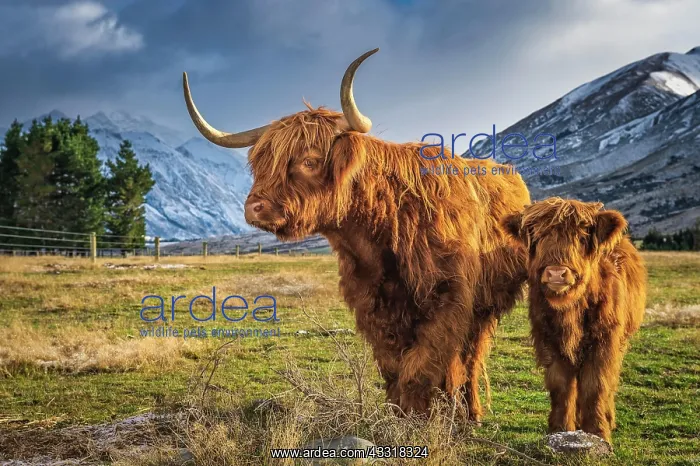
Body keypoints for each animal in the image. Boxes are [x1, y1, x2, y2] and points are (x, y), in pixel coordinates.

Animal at [182, 49, 531, 421]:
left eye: (309, 161)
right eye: (261, 164)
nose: (254, 207)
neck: (382, 230)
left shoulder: (447, 295)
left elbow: (424, 362)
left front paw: (420, 414)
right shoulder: (371, 301)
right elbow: (394, 364)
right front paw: (401, 413)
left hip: (485, 305)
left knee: (470, 355)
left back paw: (470, 411)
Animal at [499, 198, 646, 442]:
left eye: (582, 237)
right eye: (538, 236)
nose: (556, 273)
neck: (570, 310)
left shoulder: (604, 342)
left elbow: (596, 385)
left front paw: (598, 432)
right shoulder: (549, 341)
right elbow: (562, 386)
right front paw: (560, 430)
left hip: (622, 341)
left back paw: (608, 418)